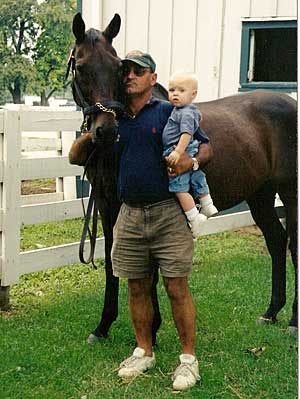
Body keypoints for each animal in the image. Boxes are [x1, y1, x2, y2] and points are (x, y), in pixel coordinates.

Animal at [68, 14, 298, 342]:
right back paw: (271, 312)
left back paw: (293, 319)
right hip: (260, 194)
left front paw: (151, 328)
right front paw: (103, 326)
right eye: (82, 67)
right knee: (276, 241)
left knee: (293, 247)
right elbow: (112, 261)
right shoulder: (106, 203)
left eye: (117, 68)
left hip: (290, 193)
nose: (106, 131)